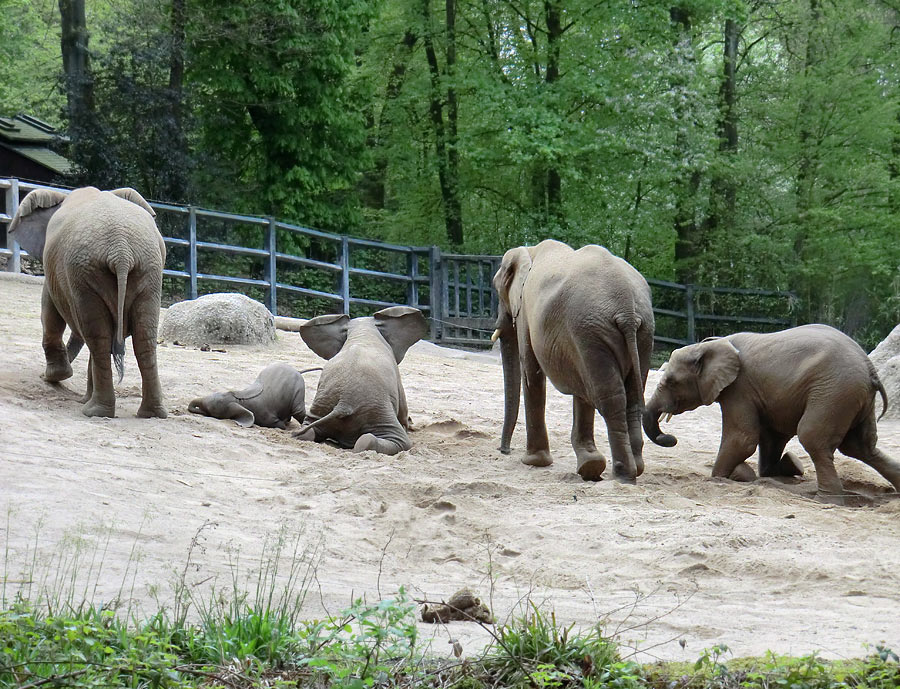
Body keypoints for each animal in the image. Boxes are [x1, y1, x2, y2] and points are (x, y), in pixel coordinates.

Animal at [8, 185, 168, 416]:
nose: (42, 377)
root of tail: (121, 251)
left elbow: (49, 309)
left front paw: (58, 376)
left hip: (85, 272)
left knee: (97, 336)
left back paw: (94, 411)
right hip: (148, 271)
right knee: (142, 338)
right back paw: (150, 414)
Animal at [185, 362, 320, 428]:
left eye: (209, 409)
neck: (238, 398)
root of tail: (298, 371)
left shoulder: (266, 415)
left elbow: (278, 425)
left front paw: (283, 425)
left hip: (299, 389)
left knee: (298, 410)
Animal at [290, 306, 428, 454]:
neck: (362, 331)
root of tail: (343, 404)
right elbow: (402, 407)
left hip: (322, 404)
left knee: (307, 431)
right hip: (376, 410)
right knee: (396, 440)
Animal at [492, 239, 652, 482]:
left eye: (497, 290)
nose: (504, 450)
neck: (529, 251)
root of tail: (627, 309)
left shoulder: (527, 313)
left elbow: (531, 372)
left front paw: (533, 462)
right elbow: (580, 388)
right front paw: (590, 466)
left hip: (591, 330)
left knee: (610, 398)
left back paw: (623, 474)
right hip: (638, 334)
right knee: (631, 395)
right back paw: (633, 469)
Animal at [644, 322, 900, 500]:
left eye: (670, 381)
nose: (670, 439)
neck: (711, 344)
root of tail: (870, 368)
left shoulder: (739, 389)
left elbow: (743, 439)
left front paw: (723, 477)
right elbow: (771, 438)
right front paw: (778, 469)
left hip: (834, 392)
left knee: (814, 437)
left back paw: (826, 499)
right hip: (853, 397)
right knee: (861, 447)